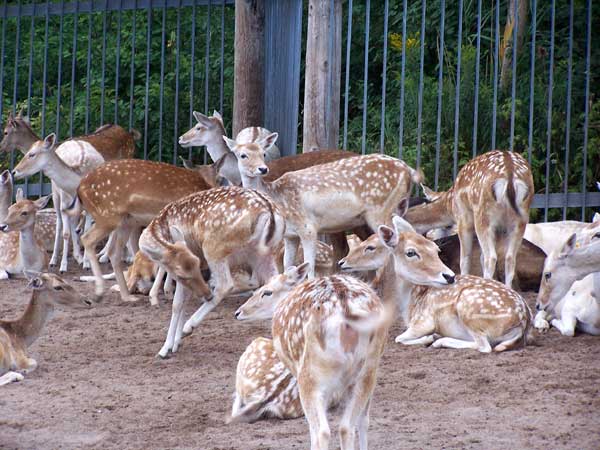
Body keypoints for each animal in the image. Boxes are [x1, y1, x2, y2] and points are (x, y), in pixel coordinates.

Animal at [138, 185, 284, 356]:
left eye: (196, 263)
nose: (207, 295)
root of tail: (269, 211)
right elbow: (184, 301)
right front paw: (175, 344)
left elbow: (177, 303)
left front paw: (165, 349)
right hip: (264, 252)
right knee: (275, 281)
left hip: (214, 248)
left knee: (225, 286)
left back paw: (189, 325)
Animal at [225, 133, 422, 282]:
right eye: (242, 155)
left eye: (263, 153)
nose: (262, 169)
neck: (277, 197)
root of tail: (409, 171)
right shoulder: (290, 235)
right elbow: (288, 266)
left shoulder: (308, 227)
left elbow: (309, 267)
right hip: (396, 209)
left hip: (381, 211)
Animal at [234, 260, 394, 450]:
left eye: (267, 292)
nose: (238, 312)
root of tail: (346, 308)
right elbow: (364, 421)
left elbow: (312, 427)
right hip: (368, 369)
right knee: (346, 427)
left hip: (311, 374)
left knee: (322, 430)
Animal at [340, 216, 532, 354]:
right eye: (411, 252)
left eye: (435, 249)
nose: (449, 276)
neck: (408, 307)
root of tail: (523, 320)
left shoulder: (423, 321)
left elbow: (398, 338)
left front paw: (428, 338)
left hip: (469, 307)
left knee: (484, 346)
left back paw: (439, 340)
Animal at [404, 149, 536, 286]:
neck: (450, 205)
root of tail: (510, 177)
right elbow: (481, 258)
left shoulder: (462, 217)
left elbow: (465, 259)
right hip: (521, 218)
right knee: (510, 259)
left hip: (483, 215)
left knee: (490, 257)